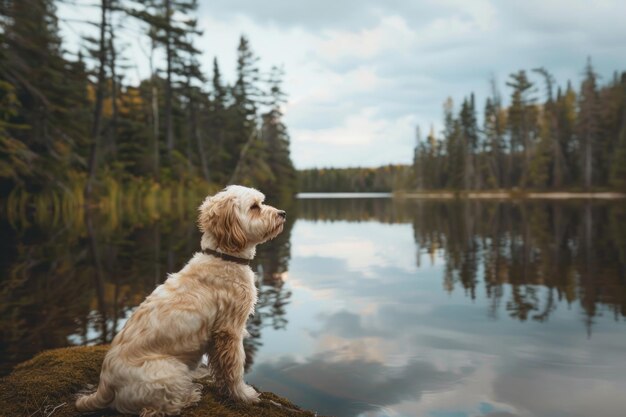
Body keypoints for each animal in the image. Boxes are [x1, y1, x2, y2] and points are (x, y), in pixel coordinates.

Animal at [75, 186, 286, 416]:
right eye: (255, 206)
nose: (283, 213)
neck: (223, 257)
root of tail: (105, 385)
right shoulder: (229, 331)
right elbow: (234, 369)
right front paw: (243, 395)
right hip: (170, 373)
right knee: (156, 409)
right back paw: (191, 395)